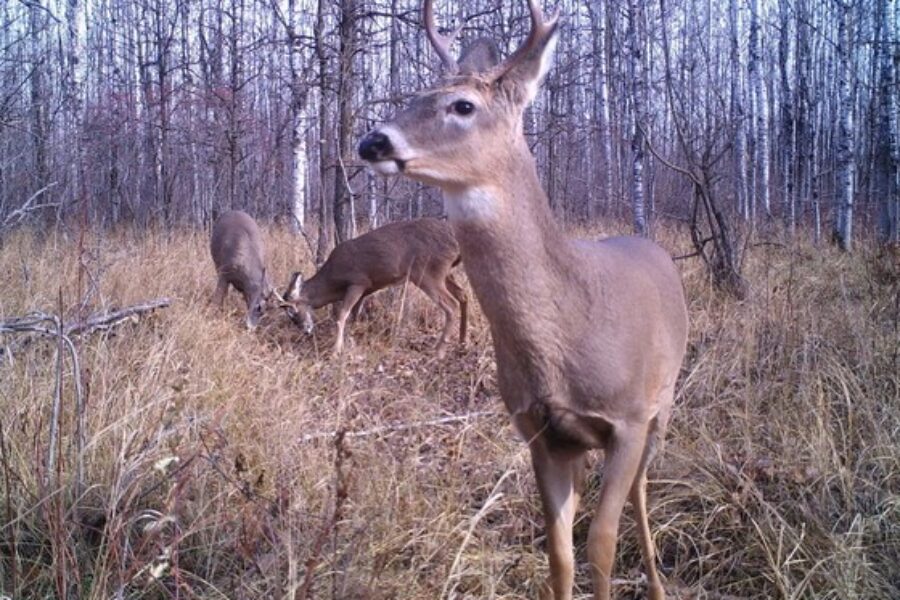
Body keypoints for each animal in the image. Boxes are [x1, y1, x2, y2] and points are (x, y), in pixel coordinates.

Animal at [281, 217, 467, 358]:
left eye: (294, 311)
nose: (306, 330)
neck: (333, 279)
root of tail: (457, 243)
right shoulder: (366, 290)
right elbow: (354, 316)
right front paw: (351, 340)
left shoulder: (358, 282)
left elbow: (342, 315)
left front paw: (336, 350)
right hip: (445, 272)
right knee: (463, 295)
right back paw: (462, 343)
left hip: (428, 272)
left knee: (451, 304)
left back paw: (439, 351)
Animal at [357, 2, 689, 599]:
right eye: (415, 94)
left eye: (462, 105)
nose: (373, 142)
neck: (569, 327)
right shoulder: (540, 432)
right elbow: (560, 553)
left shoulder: (628, 417)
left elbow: (601, 547)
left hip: (665, 400)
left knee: (642, 488)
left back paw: (657, 584)